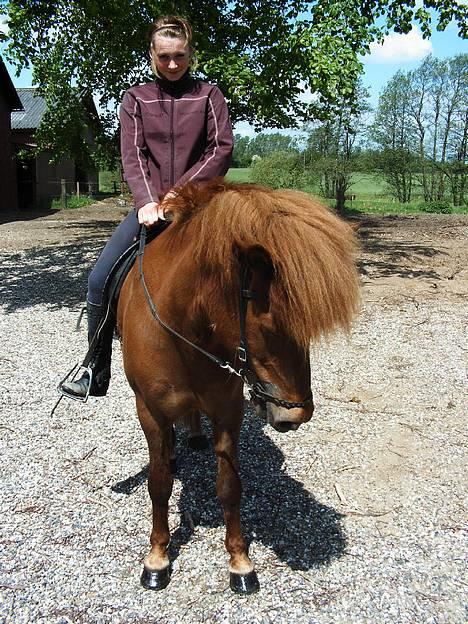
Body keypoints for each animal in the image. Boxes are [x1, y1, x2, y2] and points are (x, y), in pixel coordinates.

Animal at [117, 180, 358, 596]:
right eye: (271, 325)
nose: (298, 413)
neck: (183, 332)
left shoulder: (228, 410)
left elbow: (230, 486)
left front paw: (240, 562)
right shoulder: (150, 410)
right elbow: (159, 482)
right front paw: (156, 559)